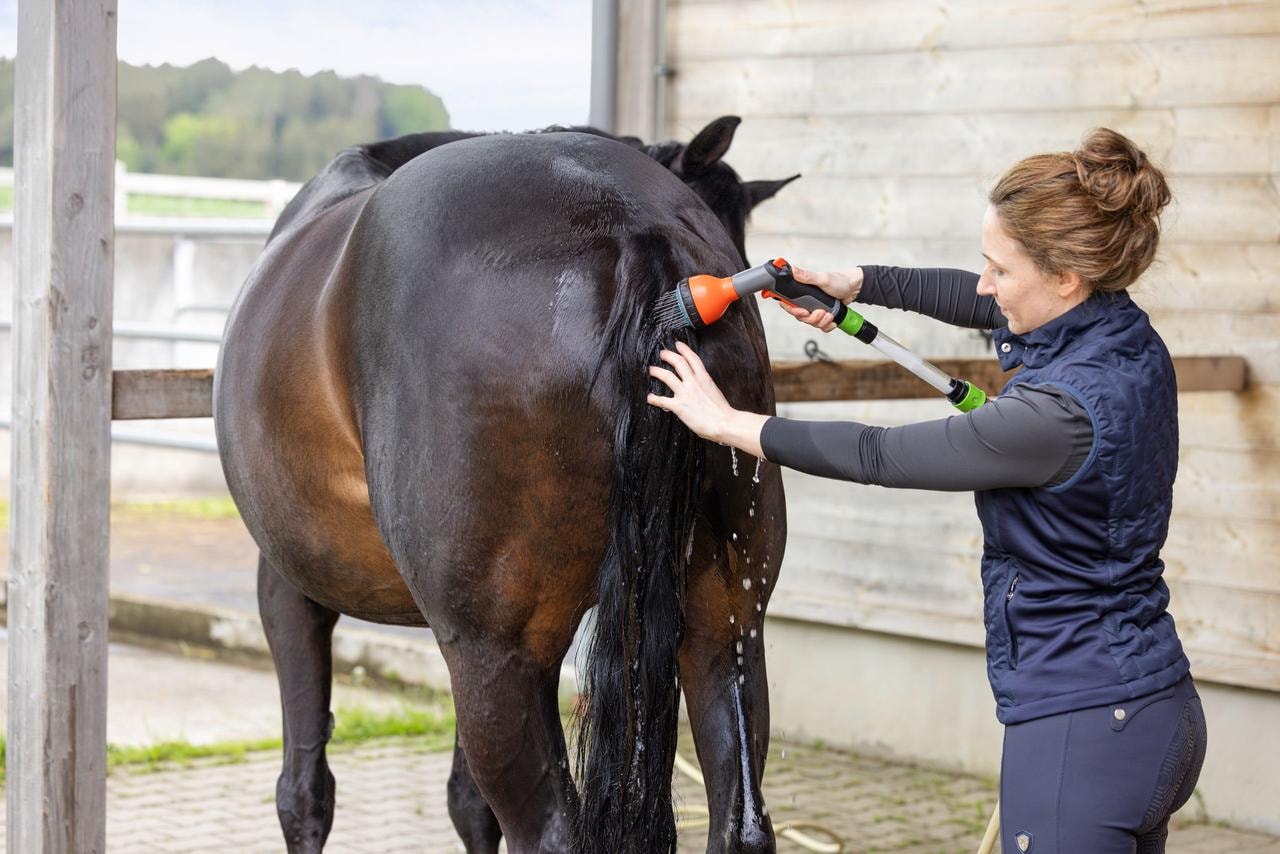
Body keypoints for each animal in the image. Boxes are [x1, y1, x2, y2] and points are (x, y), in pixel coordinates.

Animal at [214, 116, 796, 853]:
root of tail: (636, 230)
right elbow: (466, 803)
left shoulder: (291, 589)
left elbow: (305, 791)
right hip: (727, 627)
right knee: (741, 818)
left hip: (493, 657)